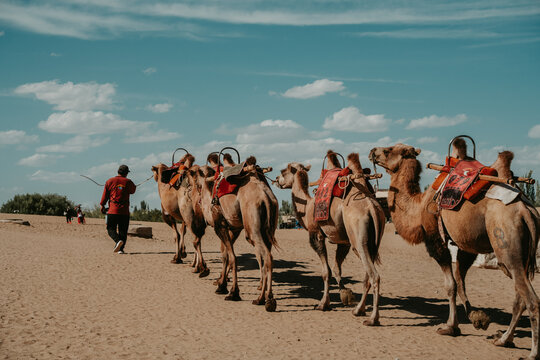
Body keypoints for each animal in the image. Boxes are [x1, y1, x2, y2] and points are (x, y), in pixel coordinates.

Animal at [187, 153, 278, 310]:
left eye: (197, 184)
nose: (195, 199)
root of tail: (266, 197)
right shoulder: (234, 228)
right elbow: (225, 255)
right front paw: (221, 284)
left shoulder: (220, 226)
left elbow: (232, 257)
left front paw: (232, 292)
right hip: (269, 228)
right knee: (265, 254)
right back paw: (263, 297)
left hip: (252, 226)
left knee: (266, 256)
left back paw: (266, 300)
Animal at [276, 150, 386, 324]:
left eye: (283, 171)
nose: (276, 179)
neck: (307, 207)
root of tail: (372, 208)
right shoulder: (343, 242)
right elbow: (336, 269)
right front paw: (346, 295)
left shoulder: (316, 234)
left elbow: (326, 271)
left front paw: (323, 304)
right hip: (373, 242)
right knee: (367, 275)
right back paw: (358, 310)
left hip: (358, 239)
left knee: (374, 275)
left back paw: (373, 319)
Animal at [372, 143, 540, 360]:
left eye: (388, 150)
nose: (372, 151)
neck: (418, 207)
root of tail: (527, 210)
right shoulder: (465, 246)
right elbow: (460, 280)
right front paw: (478, 318)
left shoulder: (437, 241)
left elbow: (450, 285)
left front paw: (450, 327)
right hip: (519, 257)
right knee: (520, 298)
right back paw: (504, 340)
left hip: (507, 244)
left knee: (531, 300)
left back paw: (532, 353)